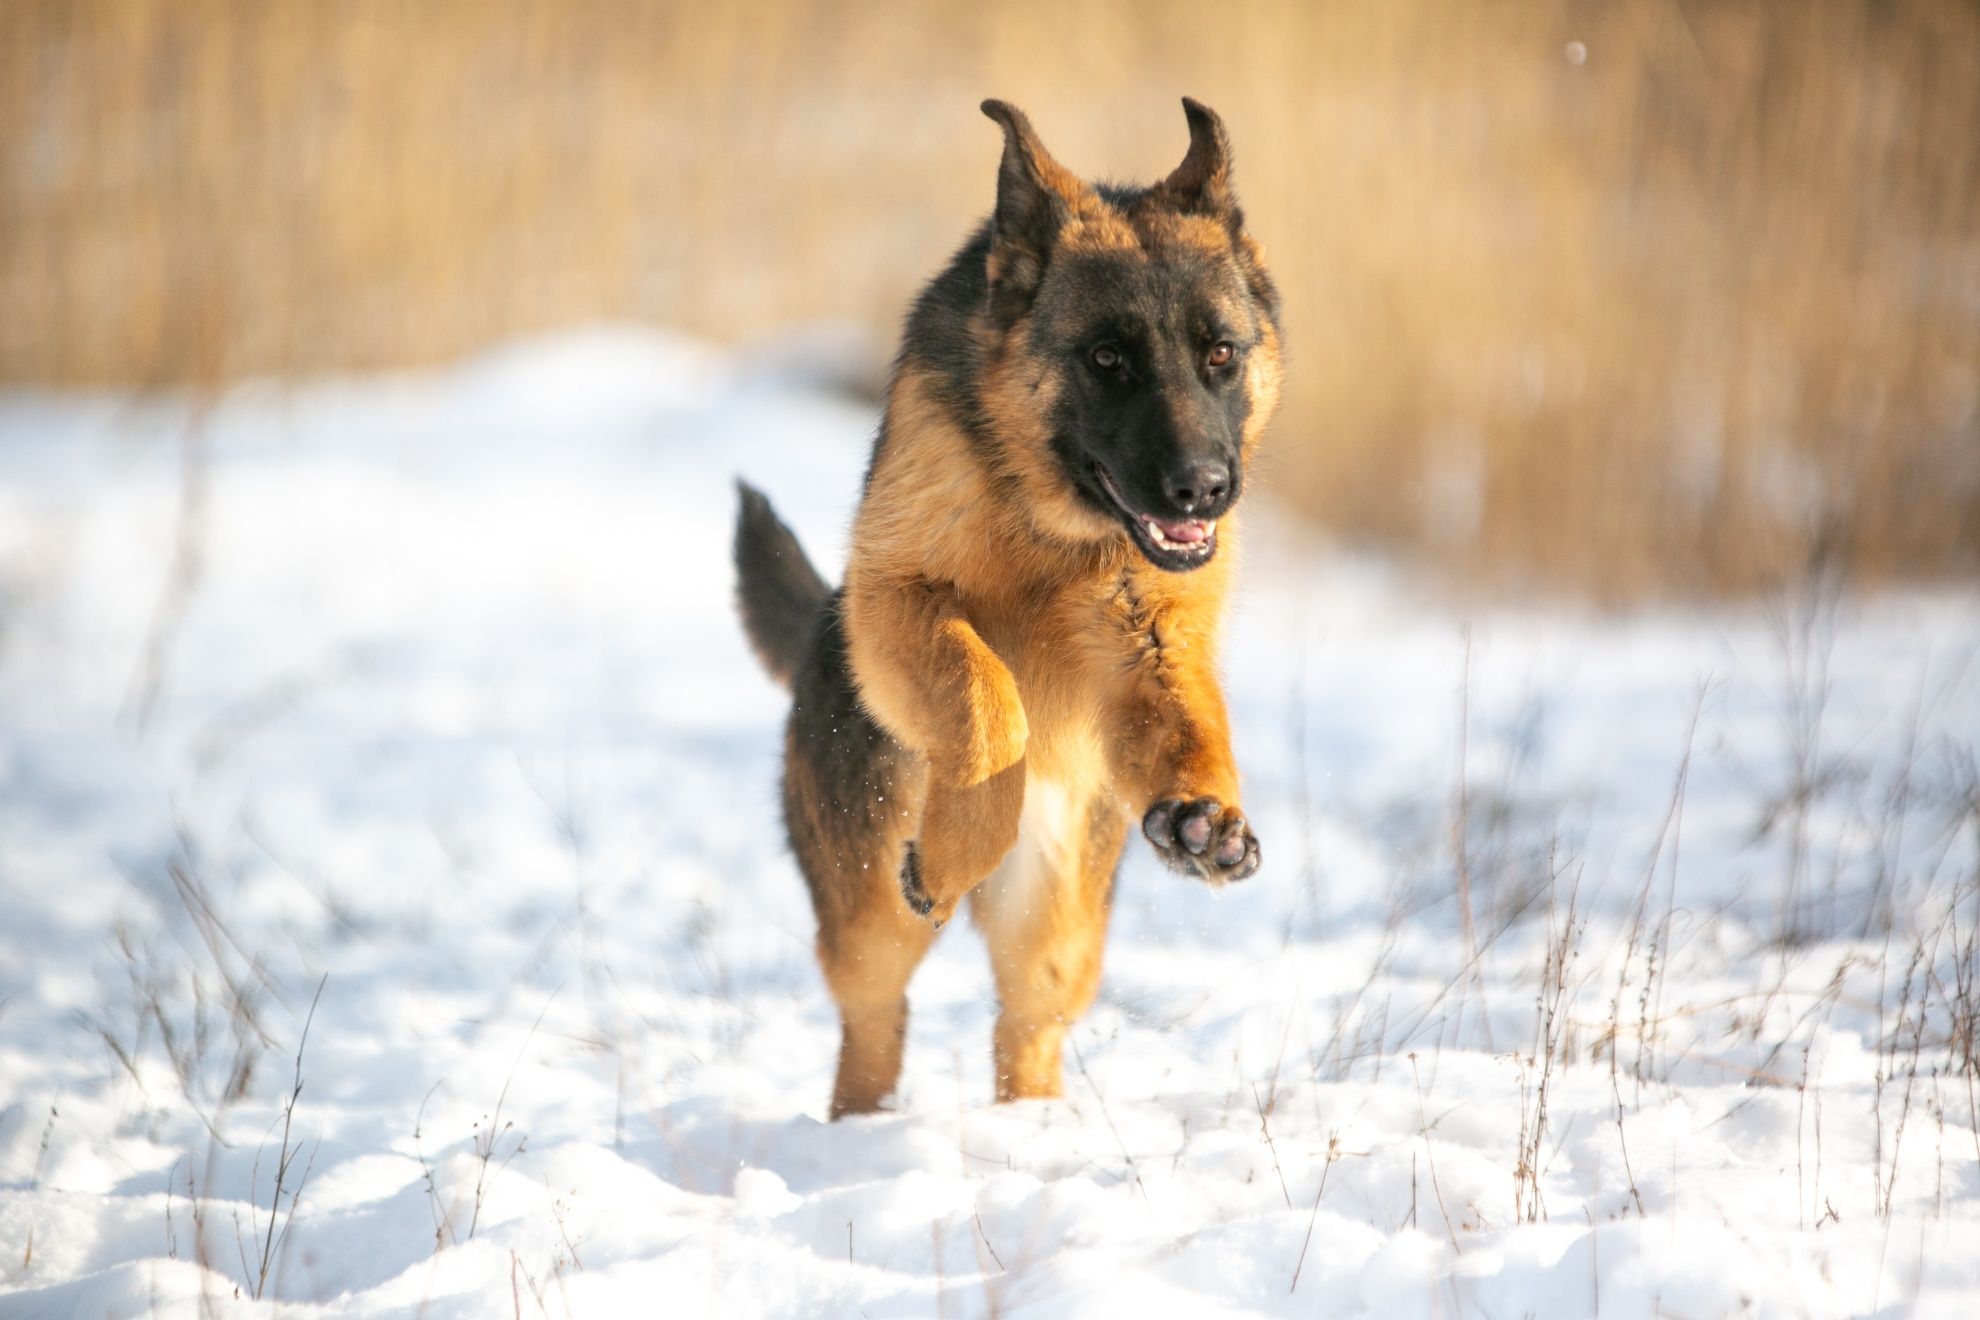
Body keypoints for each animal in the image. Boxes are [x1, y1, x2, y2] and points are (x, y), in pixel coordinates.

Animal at [732, 97, 1283, 1124]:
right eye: (1107, 358)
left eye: (1221, 355)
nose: (1203, 490)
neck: (1049, 520)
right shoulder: (896, 599)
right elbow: (988, 698)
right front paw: (956, 843)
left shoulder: (1154, 642)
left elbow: (1187, 718)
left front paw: (1205, 818)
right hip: (869, 916)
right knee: (875, 1019)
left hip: (1060, 921)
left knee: (1028, 1023)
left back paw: (1030, 1132)